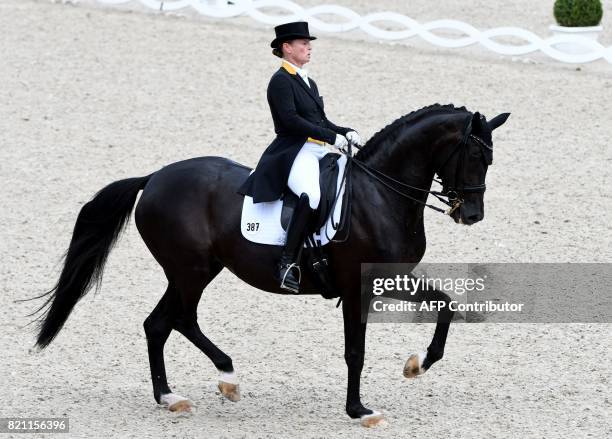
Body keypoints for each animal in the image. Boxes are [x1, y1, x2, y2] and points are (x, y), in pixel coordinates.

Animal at [34, 105, 512, 428]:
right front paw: (359, 410)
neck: (381, 194)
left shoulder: (387, 277)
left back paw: (173, 396)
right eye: (473, 157)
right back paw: (224, 378)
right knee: (179, 319)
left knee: (159, 323)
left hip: (195, 270)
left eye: (489, 160)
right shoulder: (355, 287)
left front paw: (418, 365)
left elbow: (446, 305)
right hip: (192, 271)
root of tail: (153, 179)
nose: (472, 215)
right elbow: (355, 351)